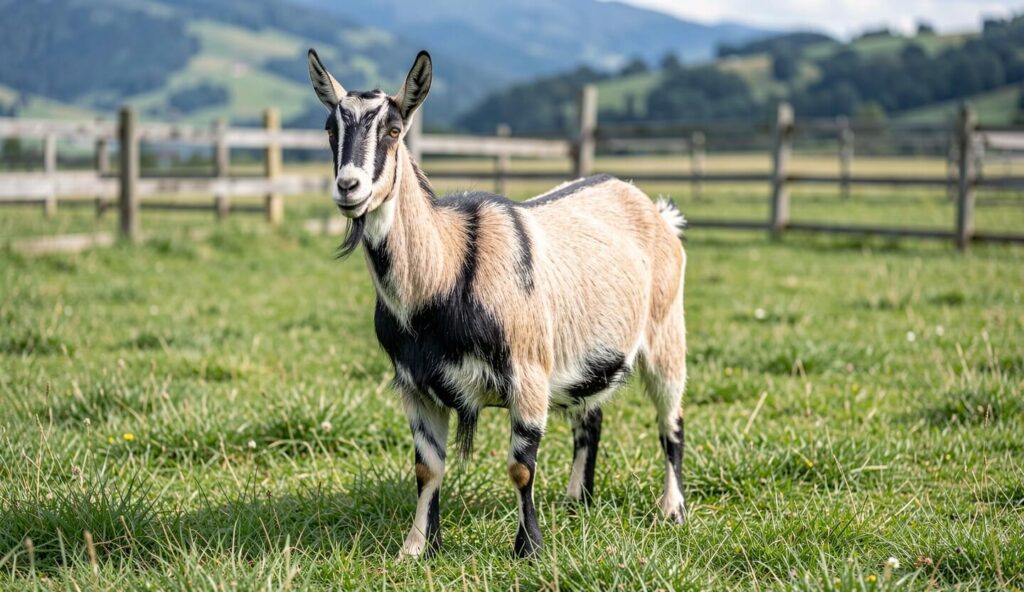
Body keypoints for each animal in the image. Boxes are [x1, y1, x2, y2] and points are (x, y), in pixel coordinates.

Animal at [307, 49, 688, 558]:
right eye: (331, 128)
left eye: (393, 129)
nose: (349, 187)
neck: (443, 278)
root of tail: (656, 210)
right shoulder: (415, 386)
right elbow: (427, 469)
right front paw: (416, 546)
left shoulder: (528, 373)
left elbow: (520, 468)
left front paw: (529, 549)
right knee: (591, 417)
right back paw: (577, 501)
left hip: (665, 334)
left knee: (671, 421)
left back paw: (672, 509)